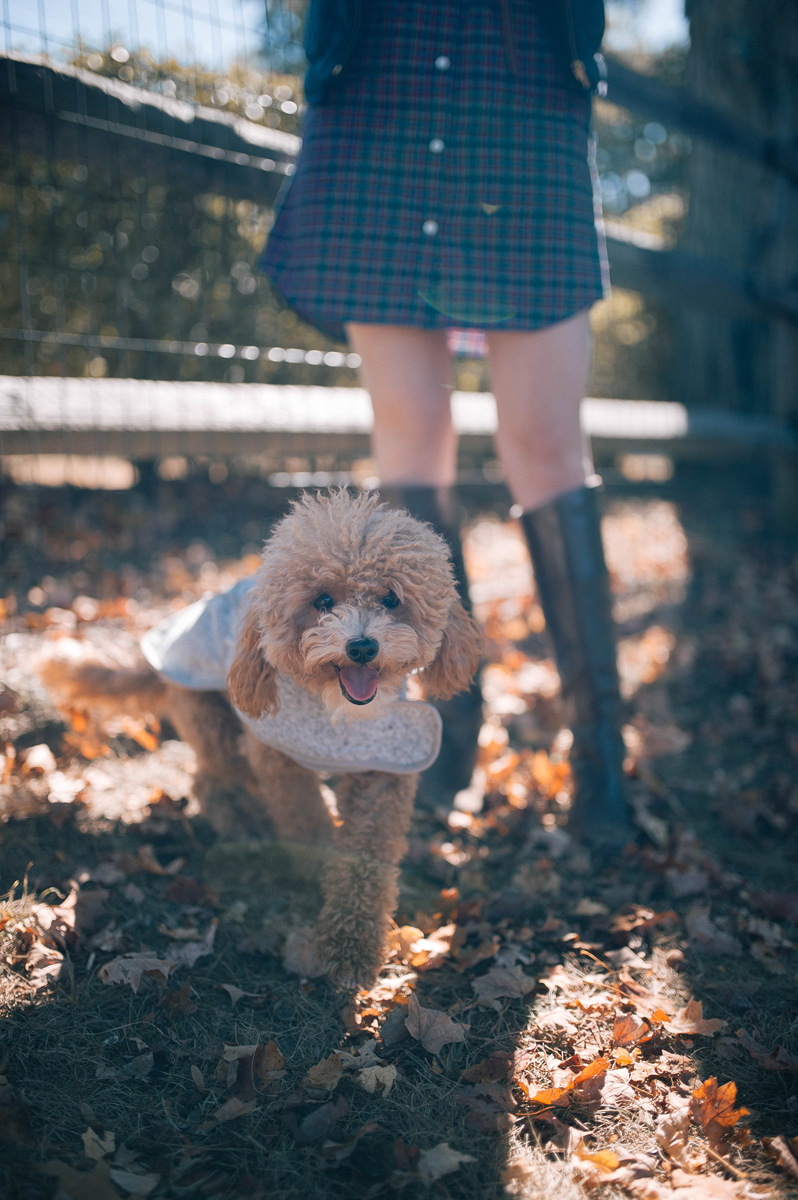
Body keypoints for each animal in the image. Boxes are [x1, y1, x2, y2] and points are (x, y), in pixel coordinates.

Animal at [40, 487, 475, 984]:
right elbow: (306, 823)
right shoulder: (278, 760)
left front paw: (352, 947)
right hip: (214, 721)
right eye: (323, 600)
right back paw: (249, 831)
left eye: (390, 598)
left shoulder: (385, 767)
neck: (335, 711)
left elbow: (368, 857)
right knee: (212, 782)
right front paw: (316, 872)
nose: (362, 646)